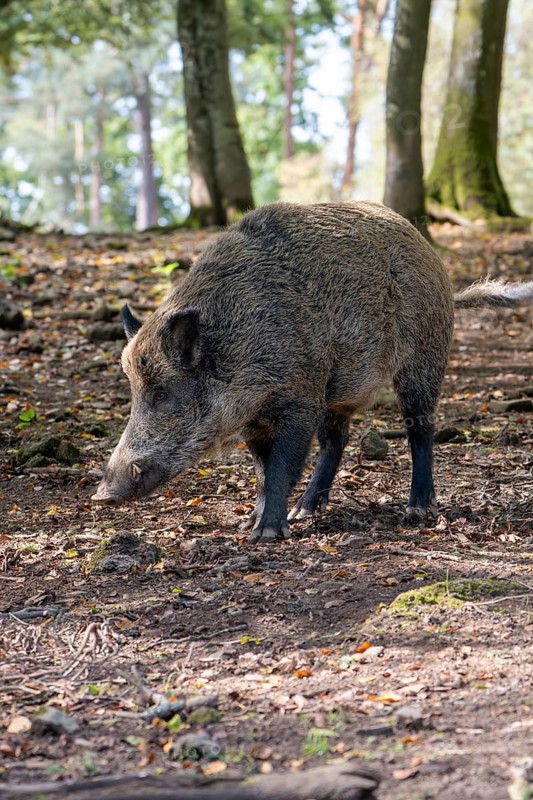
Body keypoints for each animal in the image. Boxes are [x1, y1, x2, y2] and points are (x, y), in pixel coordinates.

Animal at [92, 202, 533, 543]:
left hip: (424, 358)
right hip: (338, 389)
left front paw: (266, 535)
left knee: (420, 427)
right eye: (133, 392)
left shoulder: (299, 397)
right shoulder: (257, 419)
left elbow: (282, 466)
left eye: (162, 393)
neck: (238, 344)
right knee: (338, 439)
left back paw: (416, 510)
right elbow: (262, 470)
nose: (103, 495)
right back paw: (306, 510)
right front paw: (252, 524)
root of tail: (442, 274)